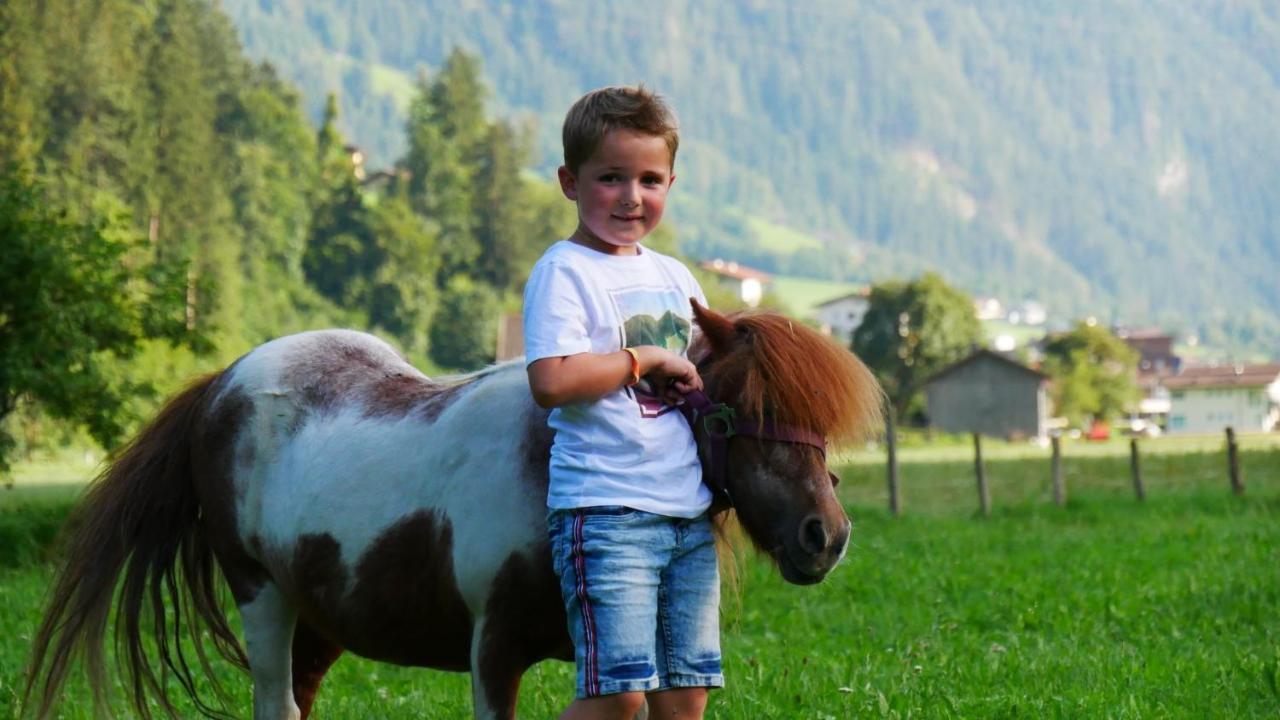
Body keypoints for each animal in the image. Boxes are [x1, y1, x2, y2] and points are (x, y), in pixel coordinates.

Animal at [24, 298, 880, 717]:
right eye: (739, 411)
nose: (826, 537)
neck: (549, 476)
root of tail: (224, 381)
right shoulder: (492, 651)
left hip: (319, 622)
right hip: (262, 599)